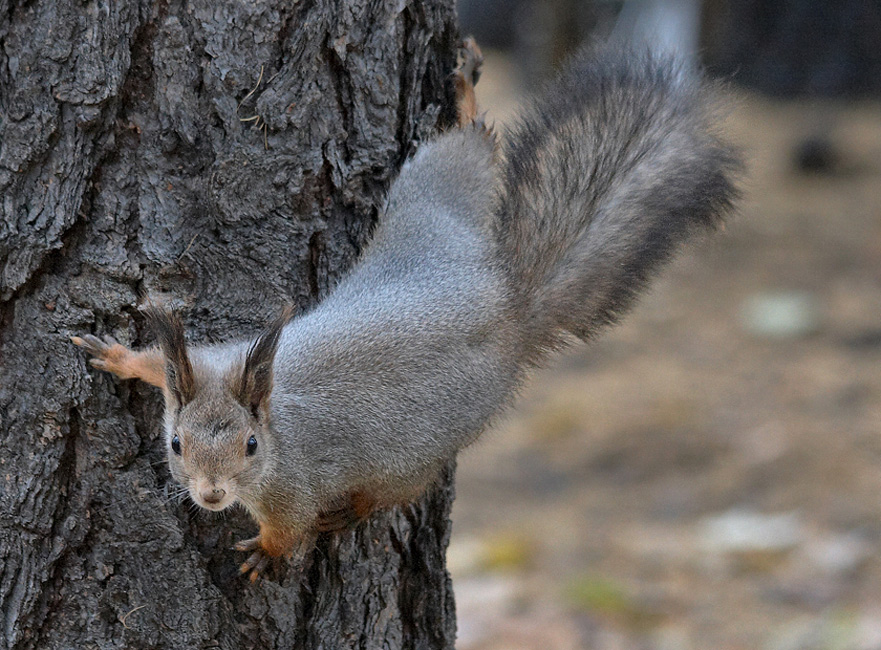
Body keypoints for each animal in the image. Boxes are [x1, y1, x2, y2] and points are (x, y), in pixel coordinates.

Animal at [72, 40, 740, 576]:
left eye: (252, 447)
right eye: (175, 444)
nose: (211, 496)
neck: (275, 413)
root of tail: (506, 309)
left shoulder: (294, 486)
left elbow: (289, 529)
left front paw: (267, 553)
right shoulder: (214, 358)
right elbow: (158, 363)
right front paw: (118, 355)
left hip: (418, 448)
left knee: (390, 492)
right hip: (432, 212)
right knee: (472, 151)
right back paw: (466, 96)